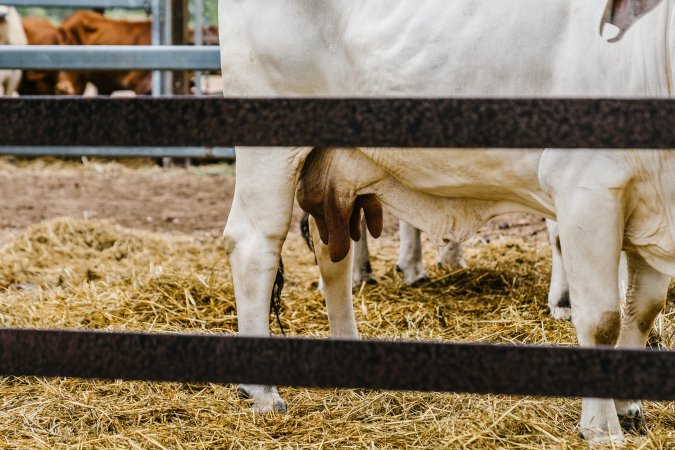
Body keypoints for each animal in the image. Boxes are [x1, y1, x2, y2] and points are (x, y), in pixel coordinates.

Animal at [220, 0, 672, 442]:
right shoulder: (585, 190)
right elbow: (602, 320)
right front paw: (602, 427)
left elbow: (642, 311)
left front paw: (628, 408)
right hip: (271, 151)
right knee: (254, 245)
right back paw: (262, 392)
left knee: (334, 257)